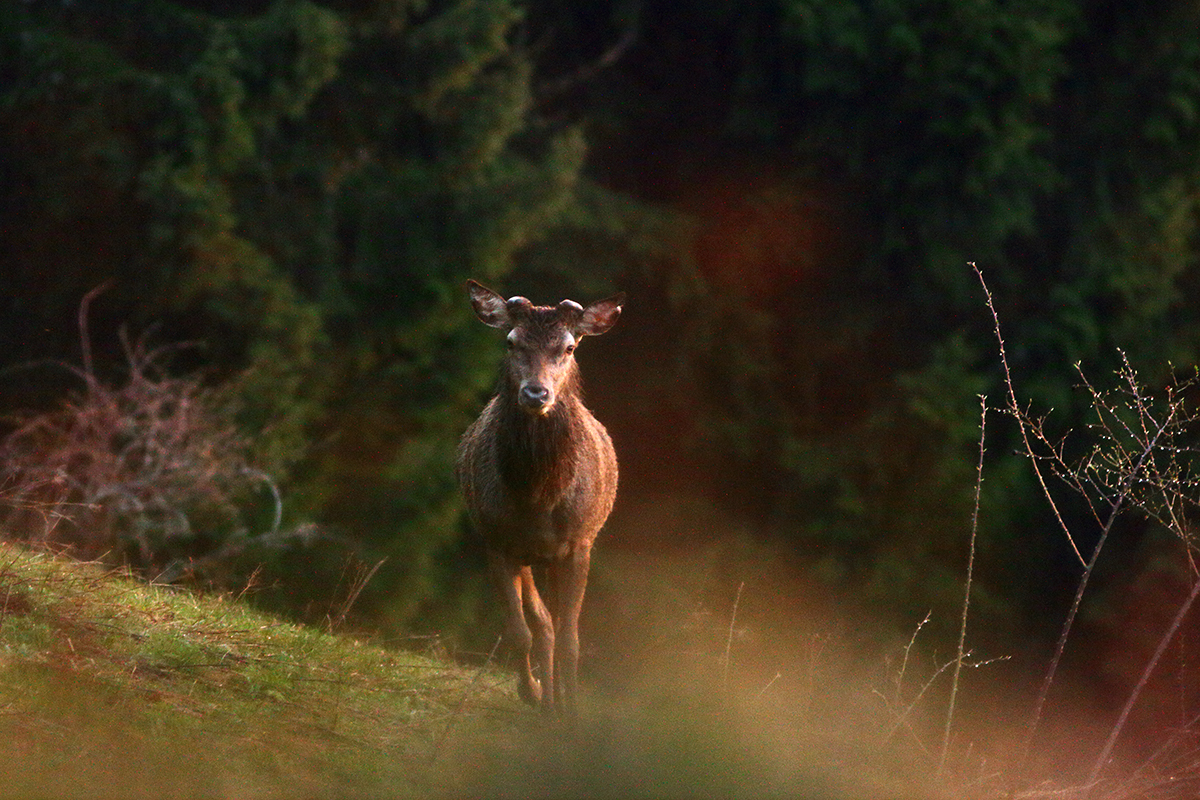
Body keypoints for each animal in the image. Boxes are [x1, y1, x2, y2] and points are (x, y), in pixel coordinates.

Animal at [453, 278, 624, 714]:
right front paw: (533, 695)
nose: (536, 393)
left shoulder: (580, 543)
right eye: (511, 342)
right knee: (543, 624)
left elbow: (571, 639)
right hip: (529, 556)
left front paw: (572, 712)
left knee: (556, 625)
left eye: (569, 347)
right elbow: (522, 631)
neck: (538, 498)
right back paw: (544, 696)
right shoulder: (497, 542)